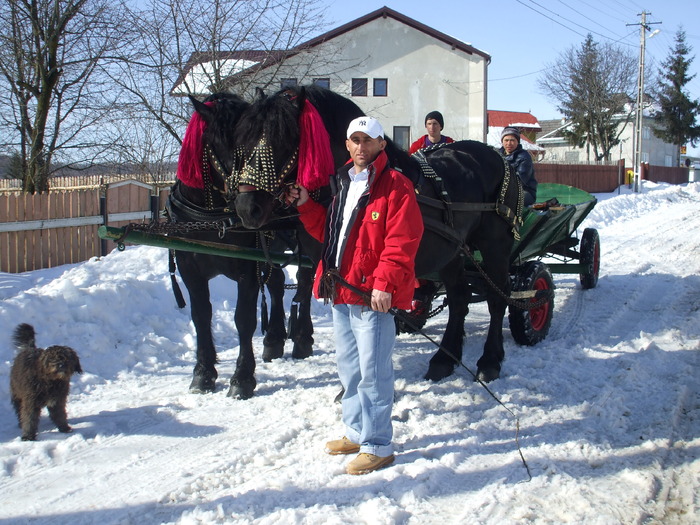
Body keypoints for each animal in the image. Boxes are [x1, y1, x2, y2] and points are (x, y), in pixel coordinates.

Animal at [171, 94, 318, 398]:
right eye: (223, 143)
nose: (246, 206)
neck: (212, 220)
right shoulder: (190, 269)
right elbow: (200, 315)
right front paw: (203, 373)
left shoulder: (247, 269)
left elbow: (244, 319)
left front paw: (242, 378)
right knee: (277, 283)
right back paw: (274, 338)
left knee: (305, 281)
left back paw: (302, 337)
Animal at [227, 85, 524, 380]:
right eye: (246, 141)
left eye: (284, 139)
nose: (246, 208)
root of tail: (496, 156)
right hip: (452, 251)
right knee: (460, 298)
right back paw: (443, 360)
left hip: (495, 245)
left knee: (498, 297)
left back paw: (489, 361)